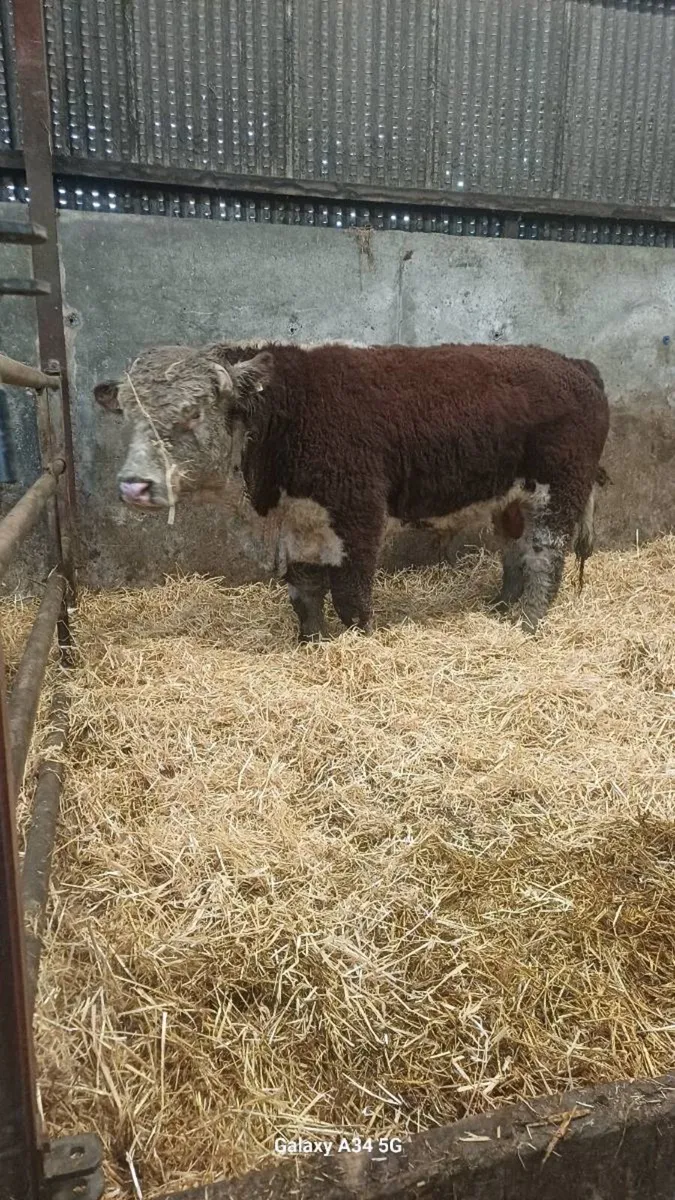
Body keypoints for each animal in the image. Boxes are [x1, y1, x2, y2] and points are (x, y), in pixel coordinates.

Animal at [93, 341, 610, 639]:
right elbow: (304, 591)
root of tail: (573, 365)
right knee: (514, 549)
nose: (135, 486)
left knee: (545, 557)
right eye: (128, 412)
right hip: (512, 499)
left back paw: (527, 624)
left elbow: (350, 596)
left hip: (559, 488)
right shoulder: (301, 518)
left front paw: (360, 643)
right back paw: (502, 607)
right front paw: (312, 643)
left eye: (194, 411)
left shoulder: (358, 514)